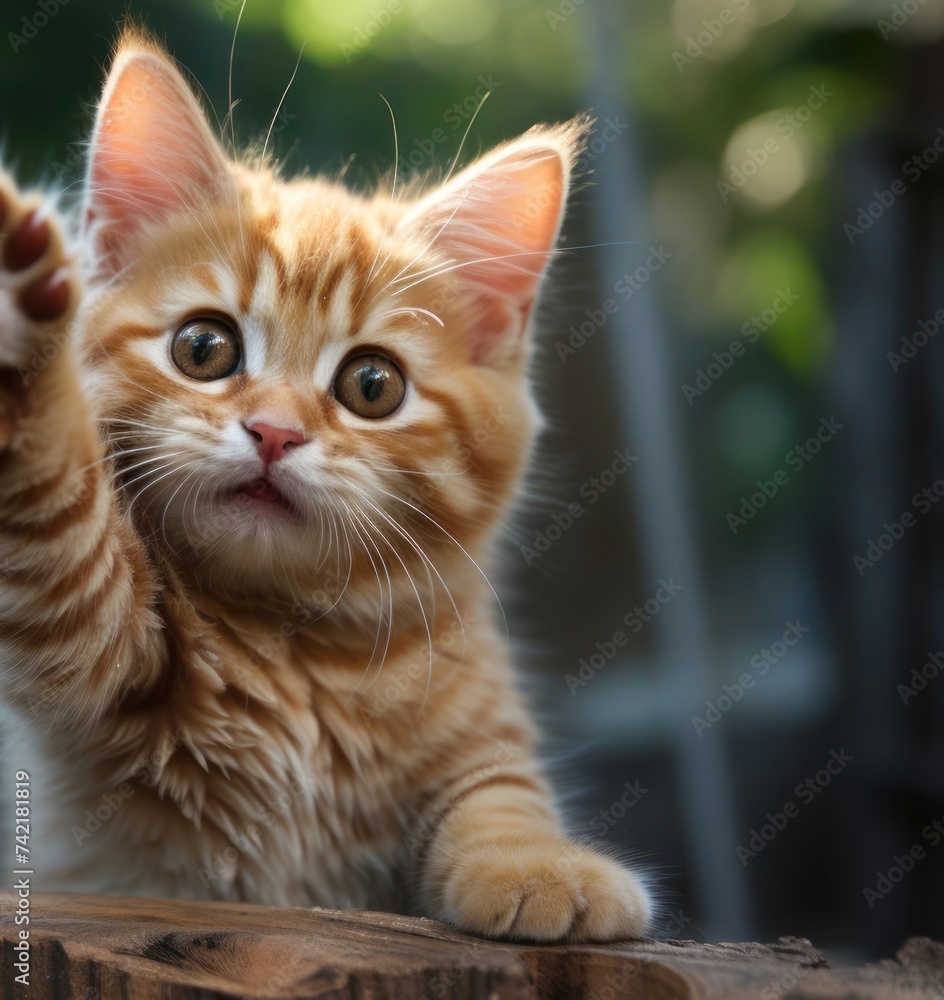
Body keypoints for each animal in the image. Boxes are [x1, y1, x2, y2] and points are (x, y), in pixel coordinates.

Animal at [0, 27, 648, 940]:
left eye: (371, 386)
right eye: (204, 348)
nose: (275, 432)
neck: (297, 647)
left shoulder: (477, 713)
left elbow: (499, 792)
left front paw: (541, 865)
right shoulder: (88, 626)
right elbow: (57, 520)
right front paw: (19, 309)